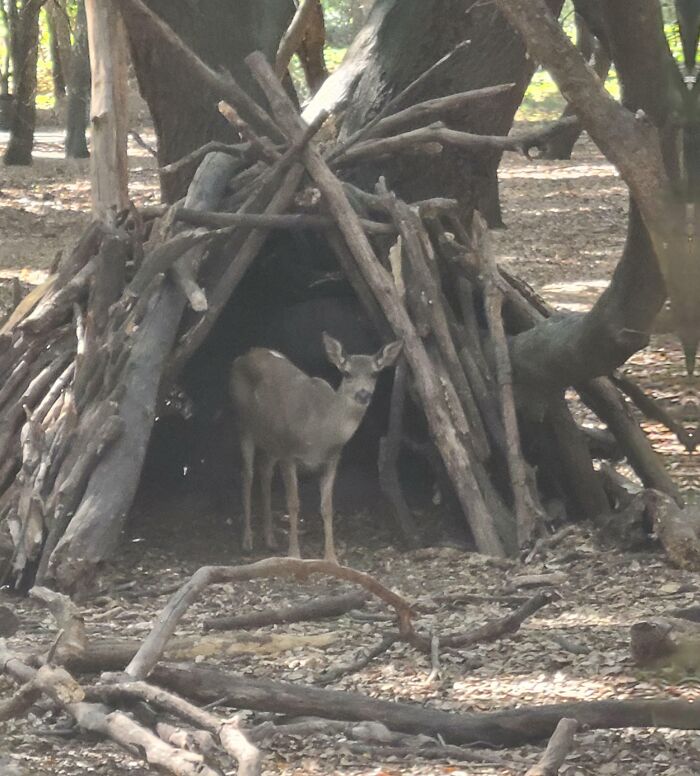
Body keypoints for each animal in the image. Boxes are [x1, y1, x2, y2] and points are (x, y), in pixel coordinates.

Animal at [230, 333, 403, 563]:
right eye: (346, 373)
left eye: (375, 373)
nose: (363, 394)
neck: (319, 432)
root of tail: (246, 354)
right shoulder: (289, 452)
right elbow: (293, 503)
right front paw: (294, 554)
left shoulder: (332, 459)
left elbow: (327, 507)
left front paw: (331, 557)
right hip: (243, 424)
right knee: (247, 474)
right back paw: (247, 541)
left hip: (272, 441)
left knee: (264, 471)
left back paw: (271, 540)